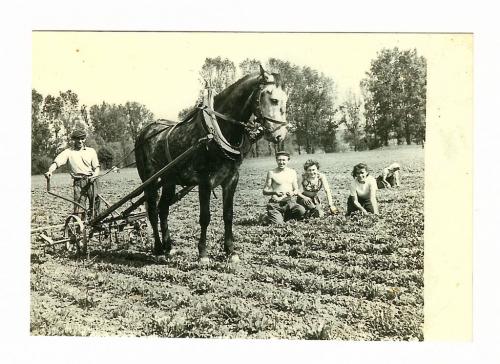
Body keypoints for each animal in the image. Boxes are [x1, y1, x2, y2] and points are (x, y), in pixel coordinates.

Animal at [135, 66, 288, 264]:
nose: (280, 135)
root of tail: (144, 132)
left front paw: (231, 251)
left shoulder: (231, 179)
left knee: (163, 209)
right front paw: (203, 254)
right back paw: (159, 248)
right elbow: (205, 217)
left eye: (286, 100)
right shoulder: (205, 181)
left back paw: (169, 247)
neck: (217, 130)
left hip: (169, 180)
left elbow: (228, 215)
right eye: (274, 99)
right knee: (153, 211)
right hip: (150, 180)